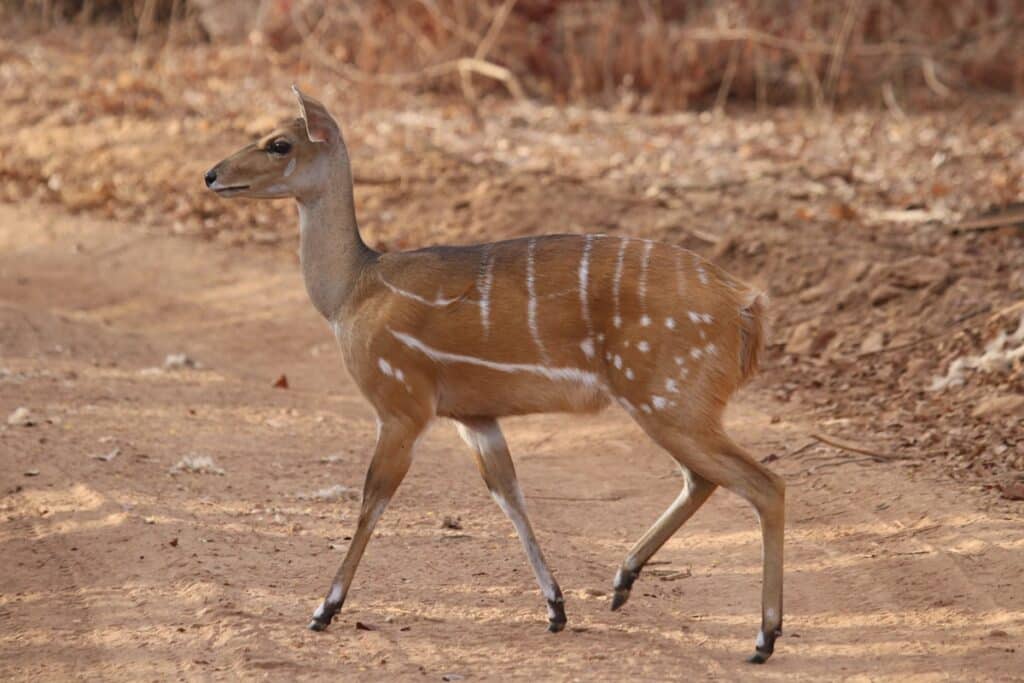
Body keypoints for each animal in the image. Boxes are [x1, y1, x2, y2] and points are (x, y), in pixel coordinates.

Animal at [203, 87, 786, 663]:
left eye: (279, 143)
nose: (211, 175)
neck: (351, 291)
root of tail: (747, 306)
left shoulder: (402, 403)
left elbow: (373, 498)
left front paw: (324, 610)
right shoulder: (475, 416)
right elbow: (508, 493)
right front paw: (556, 609)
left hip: (668, 397)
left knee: (764, 483)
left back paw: (764, 636)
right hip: (670, 402)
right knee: (704, 479)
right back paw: (623, 582)